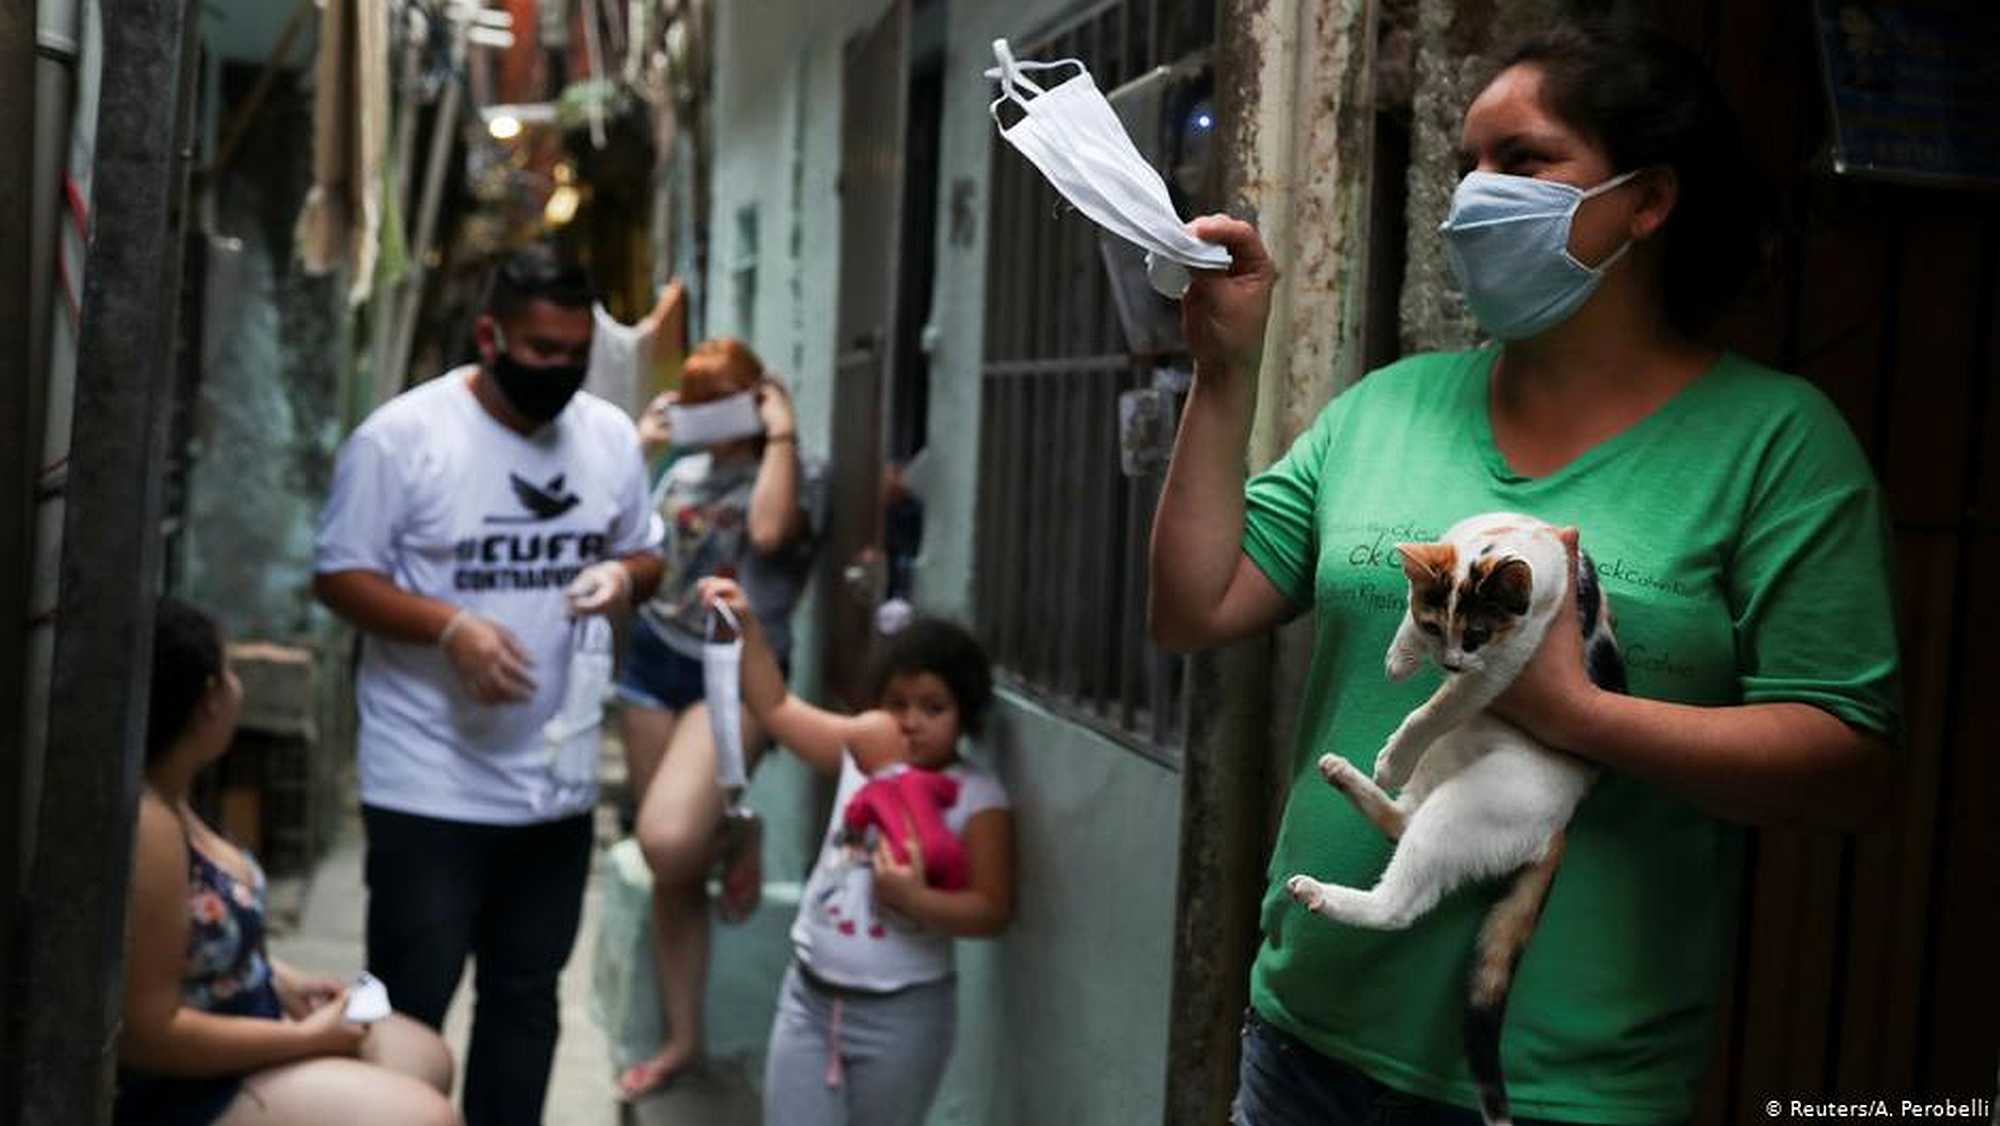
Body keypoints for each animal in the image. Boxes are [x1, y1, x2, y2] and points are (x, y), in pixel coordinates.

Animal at [1280, 512, 1624, 1126]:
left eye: (1477, 635)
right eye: (1435, 625)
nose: (1449, 661)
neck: (1495, 545)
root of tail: (1557, 826)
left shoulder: (1507, 661)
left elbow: (1436, 707)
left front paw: (1395, 747)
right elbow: (1410, 628)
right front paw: (1400, 655)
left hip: (1466, 808)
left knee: (1399, 903)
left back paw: (1323, 890)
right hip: (1447, 763)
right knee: (1401, 819)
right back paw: (1342, 773)